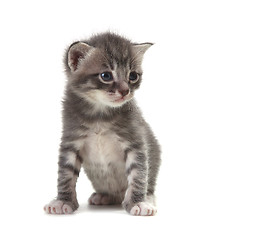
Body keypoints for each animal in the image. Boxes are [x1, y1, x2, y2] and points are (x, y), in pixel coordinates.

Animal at [44, 31, 162, 216]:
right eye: (106, 75)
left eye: (133, 76)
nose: (125, 91)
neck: (100, 114)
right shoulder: (71, 139)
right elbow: (65, 174)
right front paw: (63, 201)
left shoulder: (135, 141)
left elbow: (138, 173)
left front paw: (138, 202)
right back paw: (103, 196)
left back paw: (147, 197)